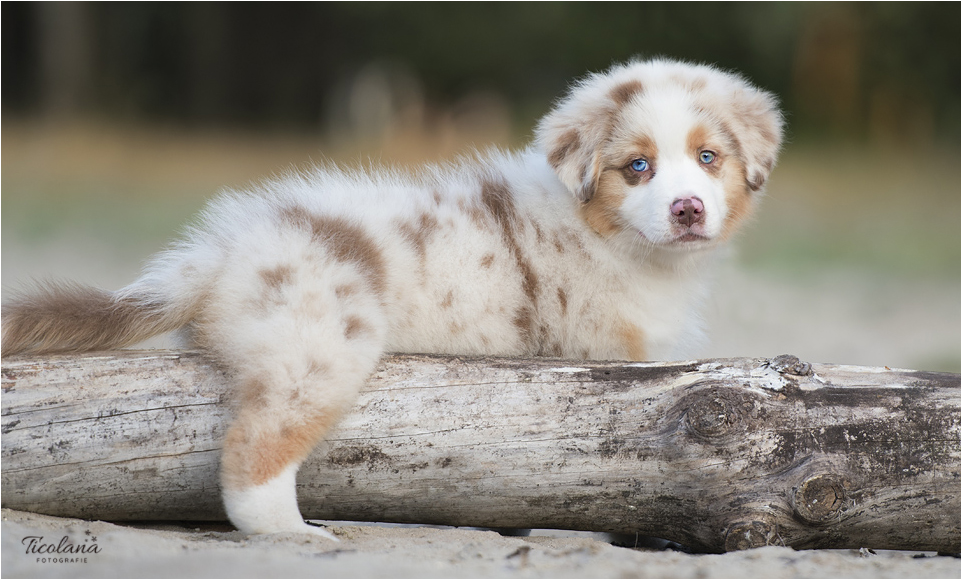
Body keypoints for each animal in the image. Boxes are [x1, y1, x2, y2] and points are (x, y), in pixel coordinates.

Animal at [1, 56, 780, 536]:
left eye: (708, 157)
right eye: (637, 167)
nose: (687, 209)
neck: (617, 241)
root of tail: (221, 250)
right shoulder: (601, 359)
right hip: (320, 346)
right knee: (254, 450)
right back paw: (294, 535)